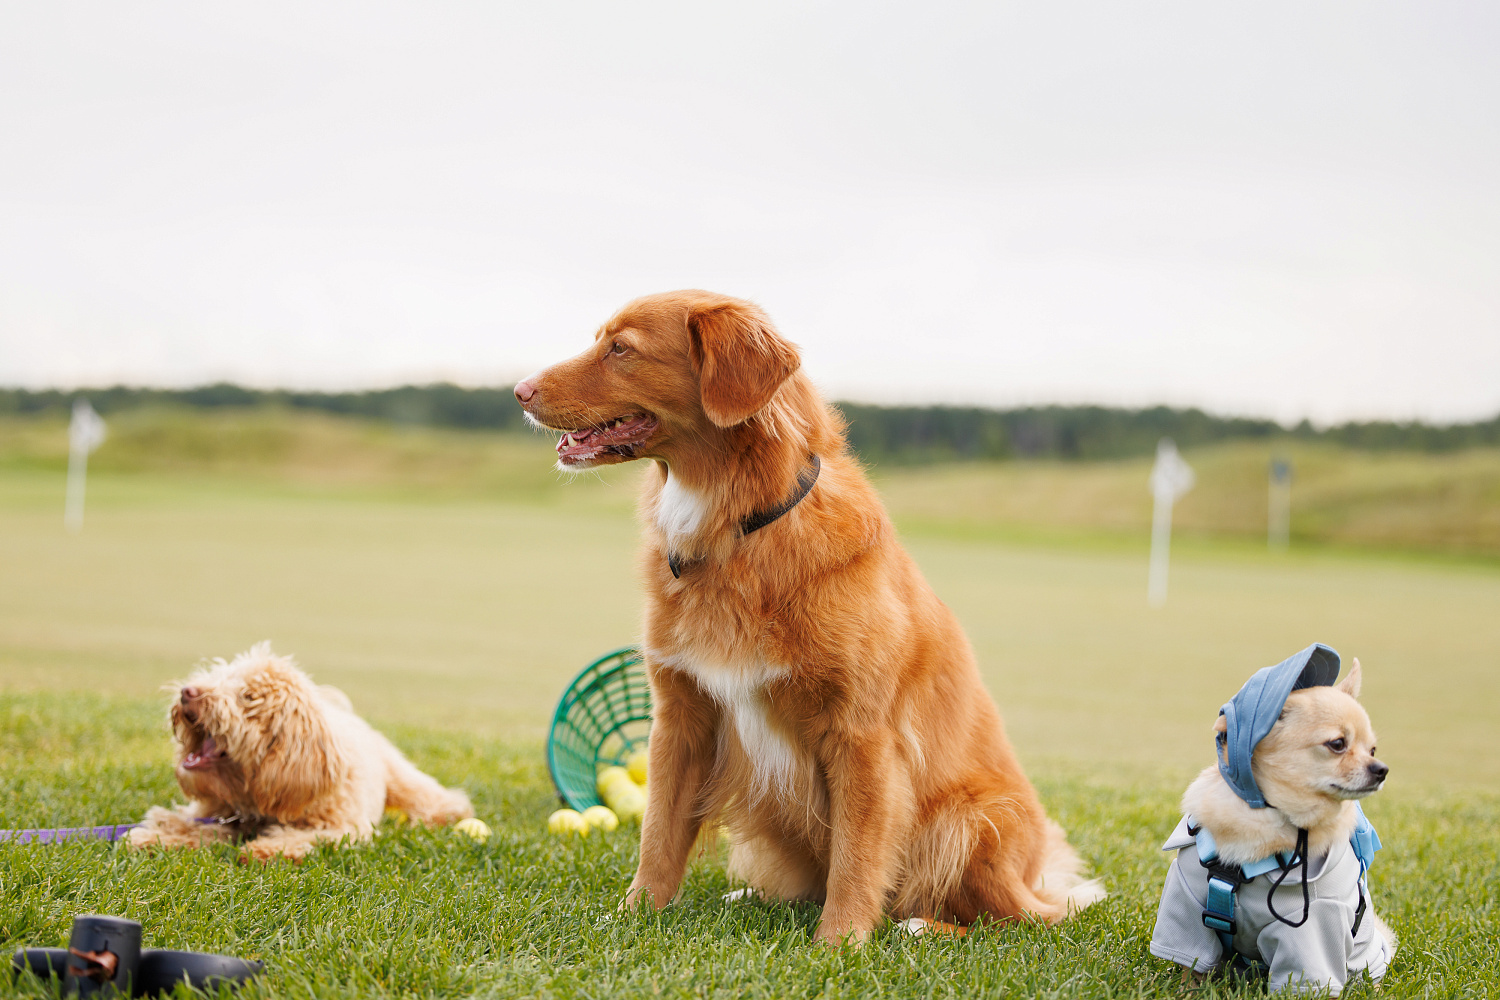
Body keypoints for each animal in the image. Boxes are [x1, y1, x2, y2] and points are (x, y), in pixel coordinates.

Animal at [126, 644, 471, 863]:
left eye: (248, 697)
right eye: (218, 677)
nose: (188, 692)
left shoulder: (343, 827)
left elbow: (307, 836)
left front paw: (268, 850)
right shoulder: (219, 813)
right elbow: (194, 825)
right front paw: (158, 839)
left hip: (399, 776)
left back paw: (448, 812)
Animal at [516, 290, 1104, 947]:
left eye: (621, 348)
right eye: (602, 340)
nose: (518, 391)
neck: (737, 528)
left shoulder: (862, 736)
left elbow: (857, 854)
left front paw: (839, 944)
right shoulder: (681, 717)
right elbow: (658, 836)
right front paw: (634, 914)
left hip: (970, 819)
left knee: (1013, 920)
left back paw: (921, 926)